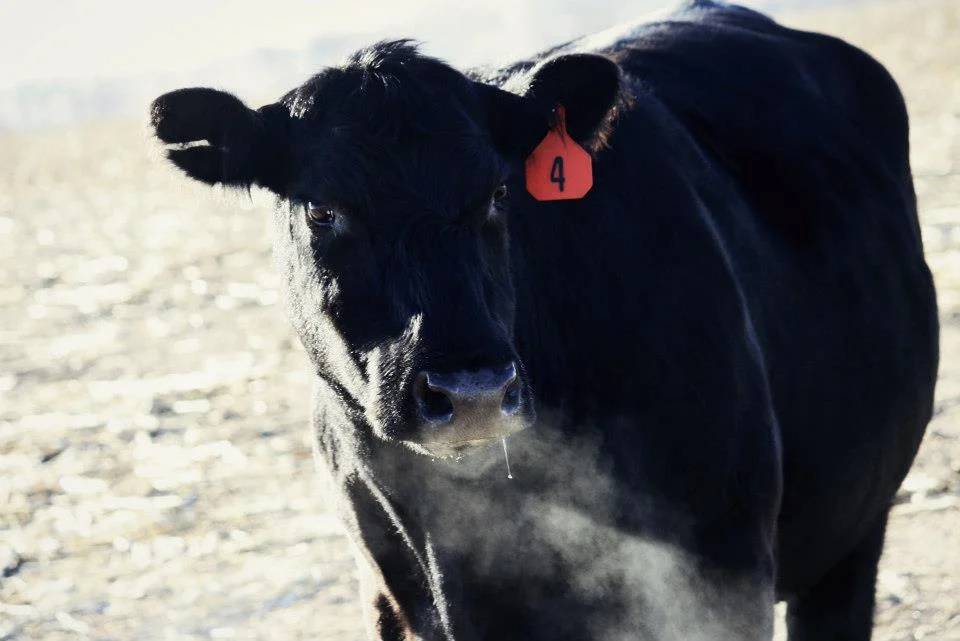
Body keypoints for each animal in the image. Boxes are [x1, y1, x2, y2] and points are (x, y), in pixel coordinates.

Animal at [149, 1, 939, 639]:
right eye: (322, 208)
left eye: (500, 191)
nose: (470, 390)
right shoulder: (393, 598)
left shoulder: (721, 574)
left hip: (855, 526)